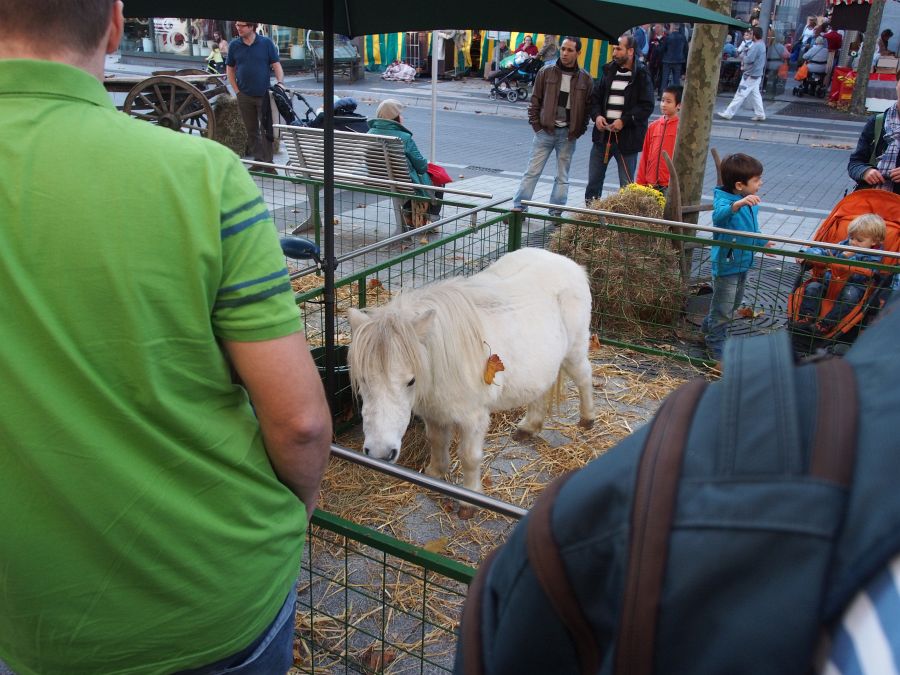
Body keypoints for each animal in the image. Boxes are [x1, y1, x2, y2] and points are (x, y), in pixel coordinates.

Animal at [347, 247, 595, 500]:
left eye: (411, 380)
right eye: (363, 380)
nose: (380, 453)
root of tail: (569, 264)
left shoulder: (473, 419)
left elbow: (469, 457)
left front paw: (470, 499)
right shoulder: (434, 413)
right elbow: (436, 442)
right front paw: (435, 473)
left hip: (574, 352)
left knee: (584, 377)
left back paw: (587, 419)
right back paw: (529, 427)